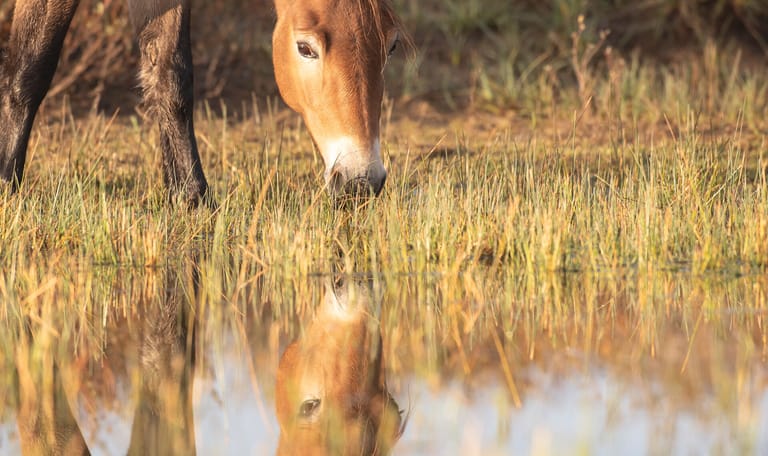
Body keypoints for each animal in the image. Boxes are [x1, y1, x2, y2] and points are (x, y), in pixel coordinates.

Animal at [0, 0, 406, 206]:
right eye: (305, 48)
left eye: (392, 46)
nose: (362, 180)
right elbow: (31, 68)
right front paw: (6, 184)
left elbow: (170, 76)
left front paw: (189, 196)